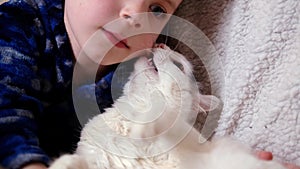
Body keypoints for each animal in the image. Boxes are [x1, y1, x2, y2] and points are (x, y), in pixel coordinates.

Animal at [49, 45, 286, 169]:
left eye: (180, 65)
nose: (161, 44)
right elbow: (74, 162)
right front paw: (63, 161)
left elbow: (158, 118)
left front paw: (143, 127)